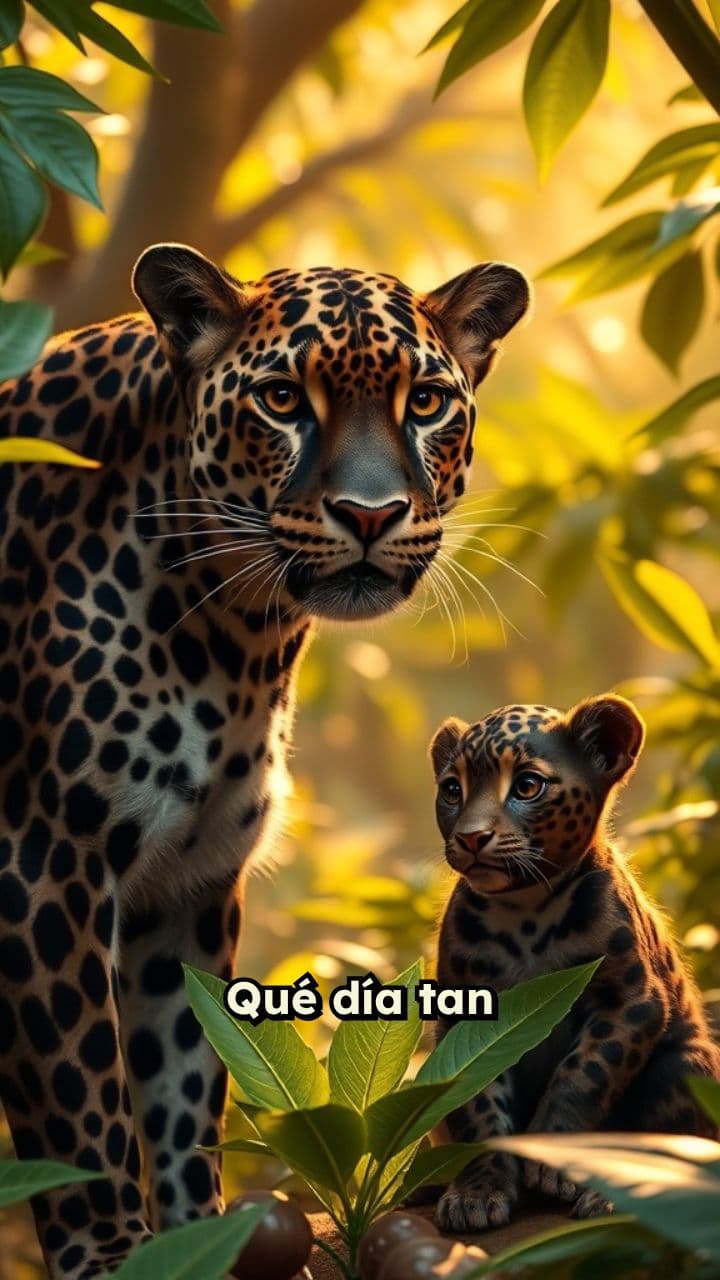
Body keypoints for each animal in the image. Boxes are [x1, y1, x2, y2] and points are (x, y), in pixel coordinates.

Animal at [0, 243, 530, 1278]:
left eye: (426, 402)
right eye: (283, 399)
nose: (370, 514)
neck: (231, 634)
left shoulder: (187, 885)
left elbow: (180, 1087)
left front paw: (196, 1234)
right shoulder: (39, 865)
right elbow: (83, 1101)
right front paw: (113, 1252)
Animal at [430, 693, 720, 1234]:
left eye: (527, 785)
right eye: (452, 790)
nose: (472, 837)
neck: (525, 911)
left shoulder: (631, 1001)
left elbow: (583, 1074)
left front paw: (553, 1159)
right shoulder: (464, 1019)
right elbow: (478, 1105)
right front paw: (476, 1194)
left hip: (687, 1064)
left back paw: (608, 1197)